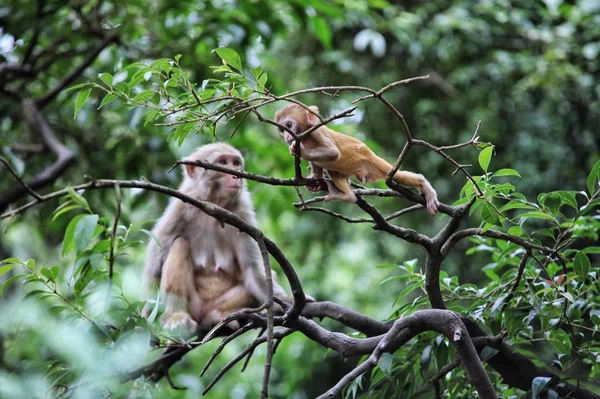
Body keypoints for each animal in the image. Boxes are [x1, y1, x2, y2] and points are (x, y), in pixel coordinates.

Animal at [274, 103, 438, 216]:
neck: (306, 137)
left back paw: (424, 185)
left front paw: (300, 151)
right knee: (334, 172)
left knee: (399, 176)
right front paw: (314, 178)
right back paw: (349, 196)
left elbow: (333, 153)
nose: (287, 136)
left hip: (376, 163)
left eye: (289, 125)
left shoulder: (316, 132)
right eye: (282, 130)